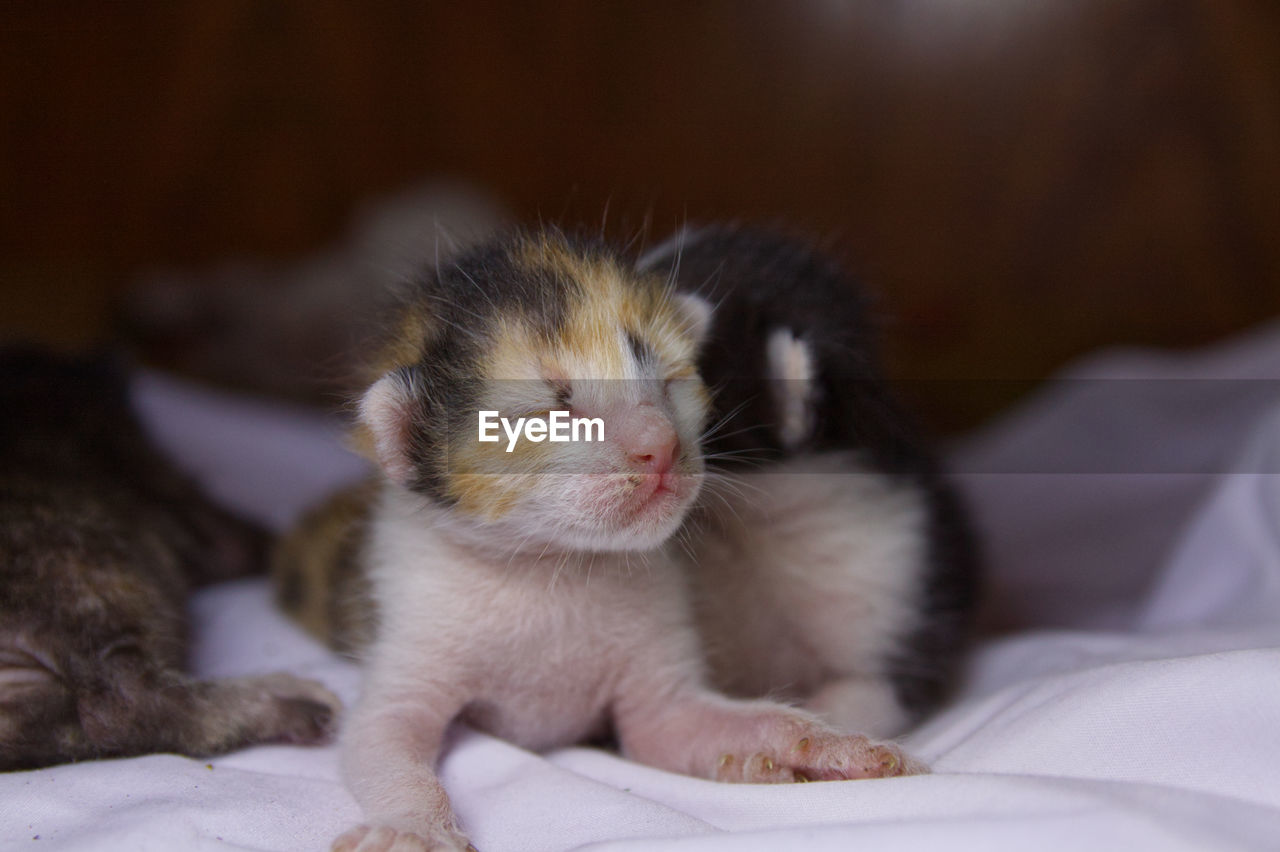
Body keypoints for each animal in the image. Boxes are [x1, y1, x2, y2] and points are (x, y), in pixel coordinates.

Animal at [275, 227, 926, 849]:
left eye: (670, 382)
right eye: (547, 412)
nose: (661, 444)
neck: (550, 565)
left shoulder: (660, 672)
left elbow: (677, 727)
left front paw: (829, 745)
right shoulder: (410, 626)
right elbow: (382, 741)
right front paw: (411, 825)